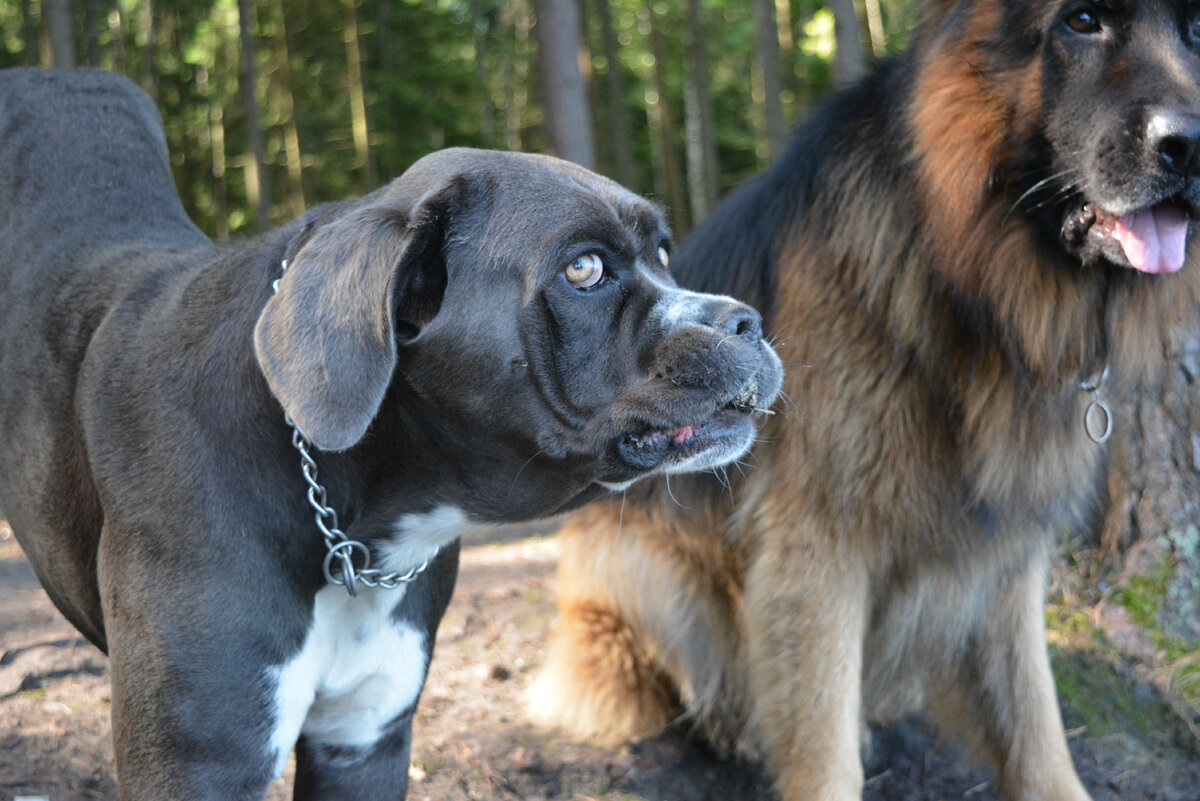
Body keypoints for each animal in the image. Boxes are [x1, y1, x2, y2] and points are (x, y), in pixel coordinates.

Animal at [0, 70, 787, 801]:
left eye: (664, 253)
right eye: (583, 268)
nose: (745, 320)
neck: (351, 523)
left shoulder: (363, 741)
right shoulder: (201, 764)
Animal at [530, 3, 1200, 796]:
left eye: (1197, 30)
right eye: (1082, 20)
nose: (1192, 148)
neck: (968, 286)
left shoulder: (1005, 553)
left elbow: (1035, 722)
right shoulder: (817, 543)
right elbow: (822, 738)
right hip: (651, 569)